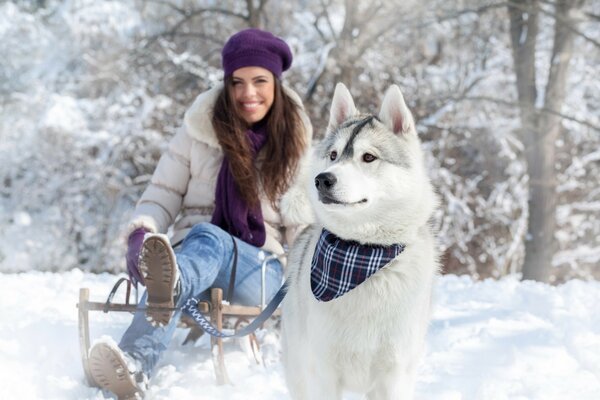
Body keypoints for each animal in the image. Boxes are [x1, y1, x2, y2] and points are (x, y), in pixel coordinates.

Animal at [282, 83, 440, 398]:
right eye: (333, 155)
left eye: (368, 157)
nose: (322, 180)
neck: (363, 253)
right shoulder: (324, 373)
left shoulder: (394, 374)